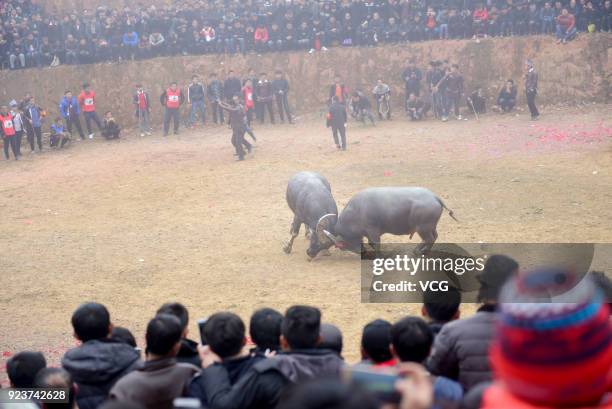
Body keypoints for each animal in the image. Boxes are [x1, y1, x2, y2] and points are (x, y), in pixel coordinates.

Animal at [322, 186, 456, 253]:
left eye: (342, 245)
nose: (360, 252)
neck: (357, 210)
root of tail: (434, 197)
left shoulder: (373, 231)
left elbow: (376, 244)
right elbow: (371, 243)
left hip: (423, 228)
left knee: (429, 239)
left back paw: (418, 251)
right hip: (430, 227)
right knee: (434, 237)